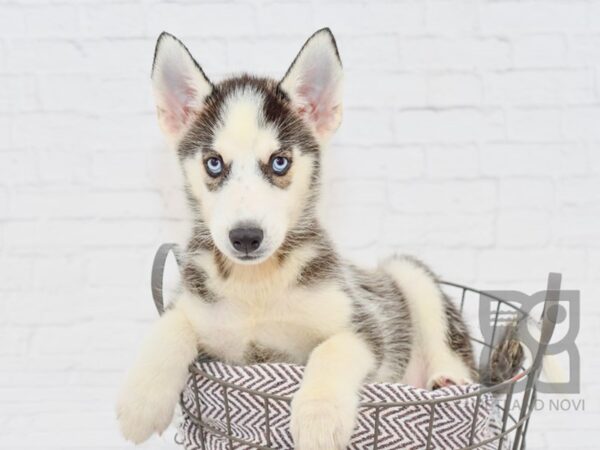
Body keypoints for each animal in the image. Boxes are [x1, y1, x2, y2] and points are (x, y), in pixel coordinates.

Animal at [119, 29, 480, 450]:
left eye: (279, 162)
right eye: (214, 163)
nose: (245, 237)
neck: (258, 287)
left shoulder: (364, 323)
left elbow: (332, 348)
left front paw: (319, 417)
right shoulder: (203, 313)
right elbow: (171, 324)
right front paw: (141, 399)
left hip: (409, 276)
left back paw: (447, 380)